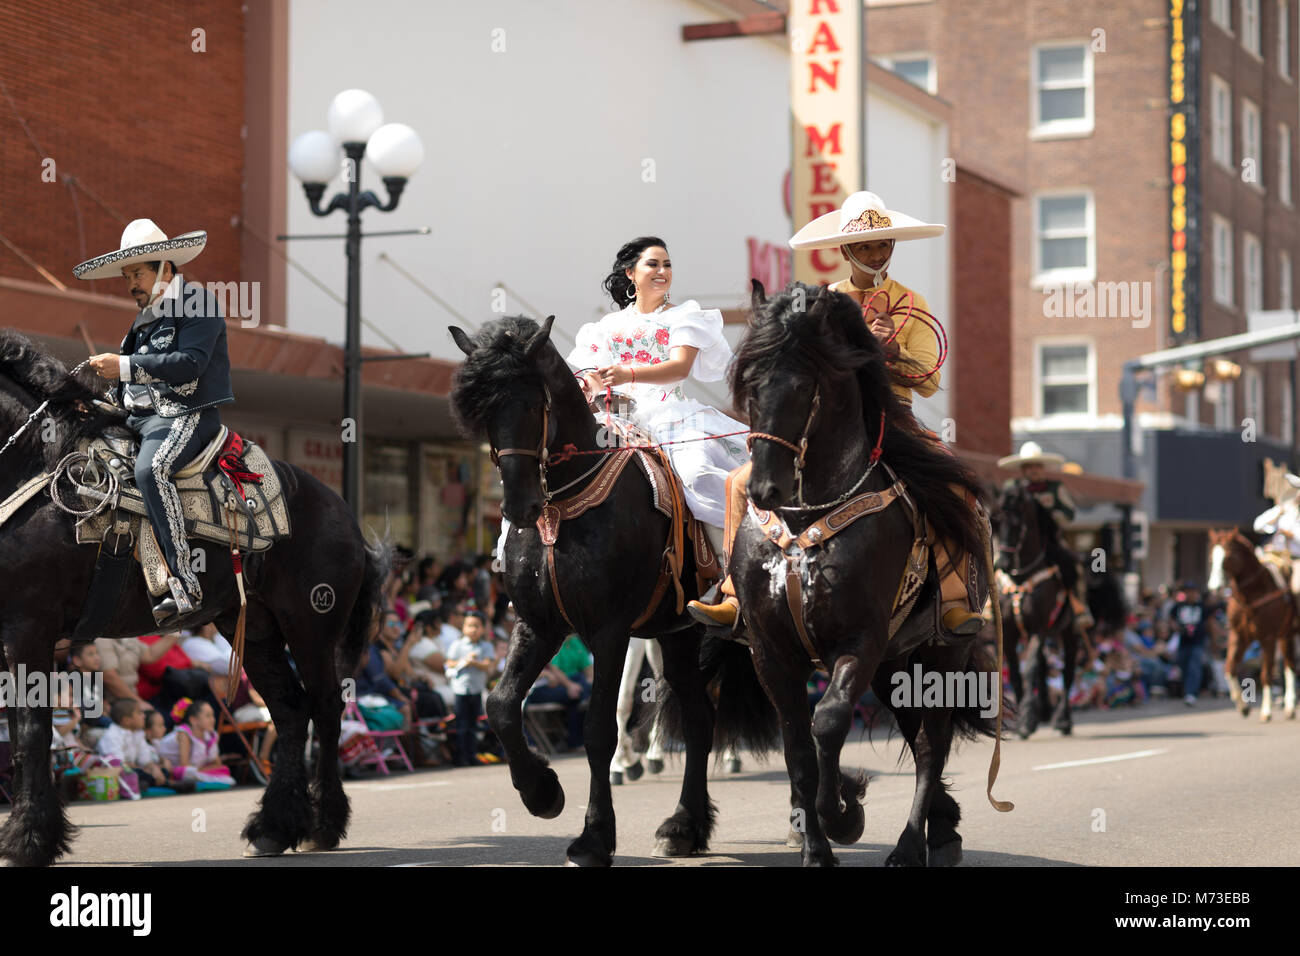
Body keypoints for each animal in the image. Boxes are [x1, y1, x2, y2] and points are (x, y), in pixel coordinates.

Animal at [0, 332, 384, 868]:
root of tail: (343, 513)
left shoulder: (29, 631)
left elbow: (31, 731)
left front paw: (28, 840)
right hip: (254, 628)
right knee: (291, 710)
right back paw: (274, 827)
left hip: (311, 625)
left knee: (325, 709)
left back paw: (323, 824)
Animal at [447, 316, 769, 868]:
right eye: (482, 412)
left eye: (531, 403)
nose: (518, 506)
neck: (567, 502)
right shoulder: (539, 625)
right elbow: (501, 705)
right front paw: (542, 792)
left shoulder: (610, 630)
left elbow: (599, 728)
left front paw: (594, 837)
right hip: (678, 633)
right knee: (699, 718)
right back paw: (684, 827)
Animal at [728, 282, 1008, 868]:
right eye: (750, 385)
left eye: (804, 385)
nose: (765, 488)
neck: (805, 518)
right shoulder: (770, 650)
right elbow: (797, 746)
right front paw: (816, 847)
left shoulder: (860, 640)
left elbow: (829, 722)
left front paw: (842, 813)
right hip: (895, 665)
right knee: (917, 737)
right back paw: (940, 829)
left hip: (938, 654)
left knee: (929, 746)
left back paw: (912, 846)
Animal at [987, 481, 1081, 738]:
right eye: (994, 522)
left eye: (1017, 525)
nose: (1003, 563)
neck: (1021, 578)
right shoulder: (1008, 632)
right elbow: (1016, 672)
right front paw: (1023, 718)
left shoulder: (1039, 628)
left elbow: (1029, 669)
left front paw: (1028, 719)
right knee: (1043, 668)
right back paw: (1045, 712)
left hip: (1069, 633)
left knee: (1067, 673)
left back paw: (1063, 720)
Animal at [1206, 528, 1300, 723]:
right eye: (1211, 558)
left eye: (1227, 557)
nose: (1214, 588)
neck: (1252, 594)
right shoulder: (1238, 636)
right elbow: (1229, 668)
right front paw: (1243, 707)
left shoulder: (1268, 638)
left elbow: (1266, 675)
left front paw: (1266, 711)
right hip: (1286, 635)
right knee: (1290, 665)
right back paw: (1289, 707)